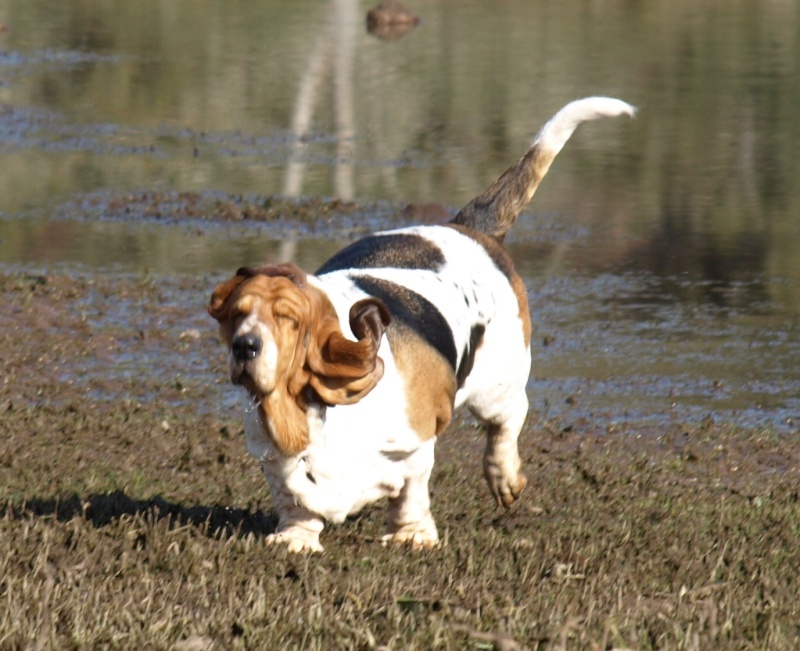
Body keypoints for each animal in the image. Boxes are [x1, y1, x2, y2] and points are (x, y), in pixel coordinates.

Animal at [209, 98, 636, 556]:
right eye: (237, 313)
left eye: (289, 319)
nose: (245, 347)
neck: (308, 407)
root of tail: (467, 227)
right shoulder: (274, 459)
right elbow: (293, 498)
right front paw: (296, 538)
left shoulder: (413, 446)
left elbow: (411, 490)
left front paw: (412, 534)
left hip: (495, 386)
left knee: (508, 421)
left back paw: (504, 476)